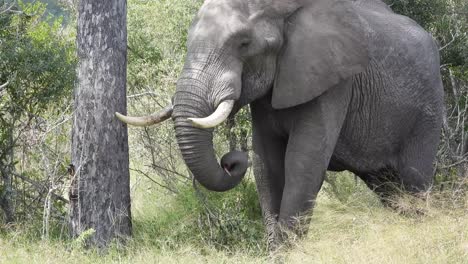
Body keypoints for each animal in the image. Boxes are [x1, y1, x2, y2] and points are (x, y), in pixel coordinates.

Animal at [116, 0, 442, 248]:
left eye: (244, 44)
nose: (230, 161)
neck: (284, 10)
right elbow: (267, 165)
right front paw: (277, 251)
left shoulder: (333, 80)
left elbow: (302, 164)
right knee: (388, 188)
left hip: (426, 110)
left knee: (414, 179)